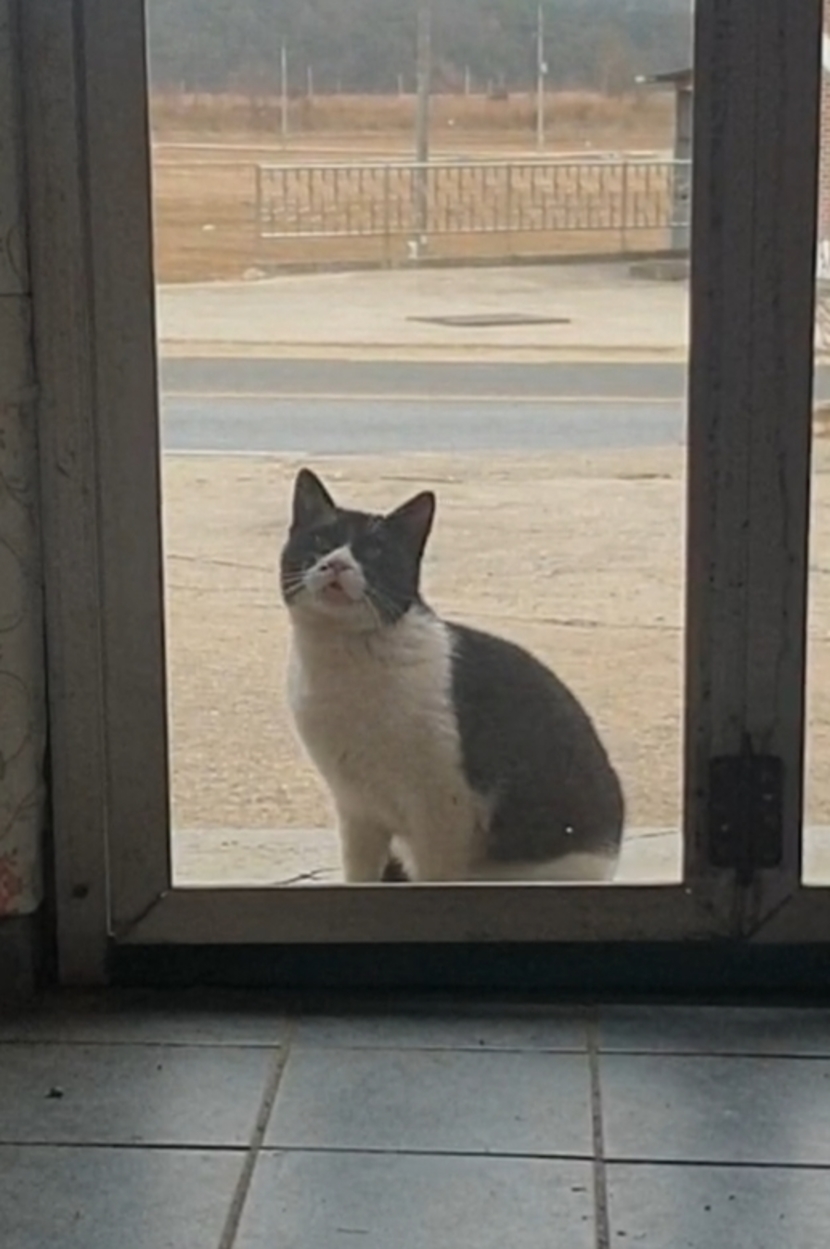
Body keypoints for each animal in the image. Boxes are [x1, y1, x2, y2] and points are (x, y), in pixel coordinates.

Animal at [280, 468, 624, 883]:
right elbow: (359, 872)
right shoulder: (358, 811)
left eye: (375, 551)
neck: (345, 662)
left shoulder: (442, 813)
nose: (337, 563)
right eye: (321, 540)